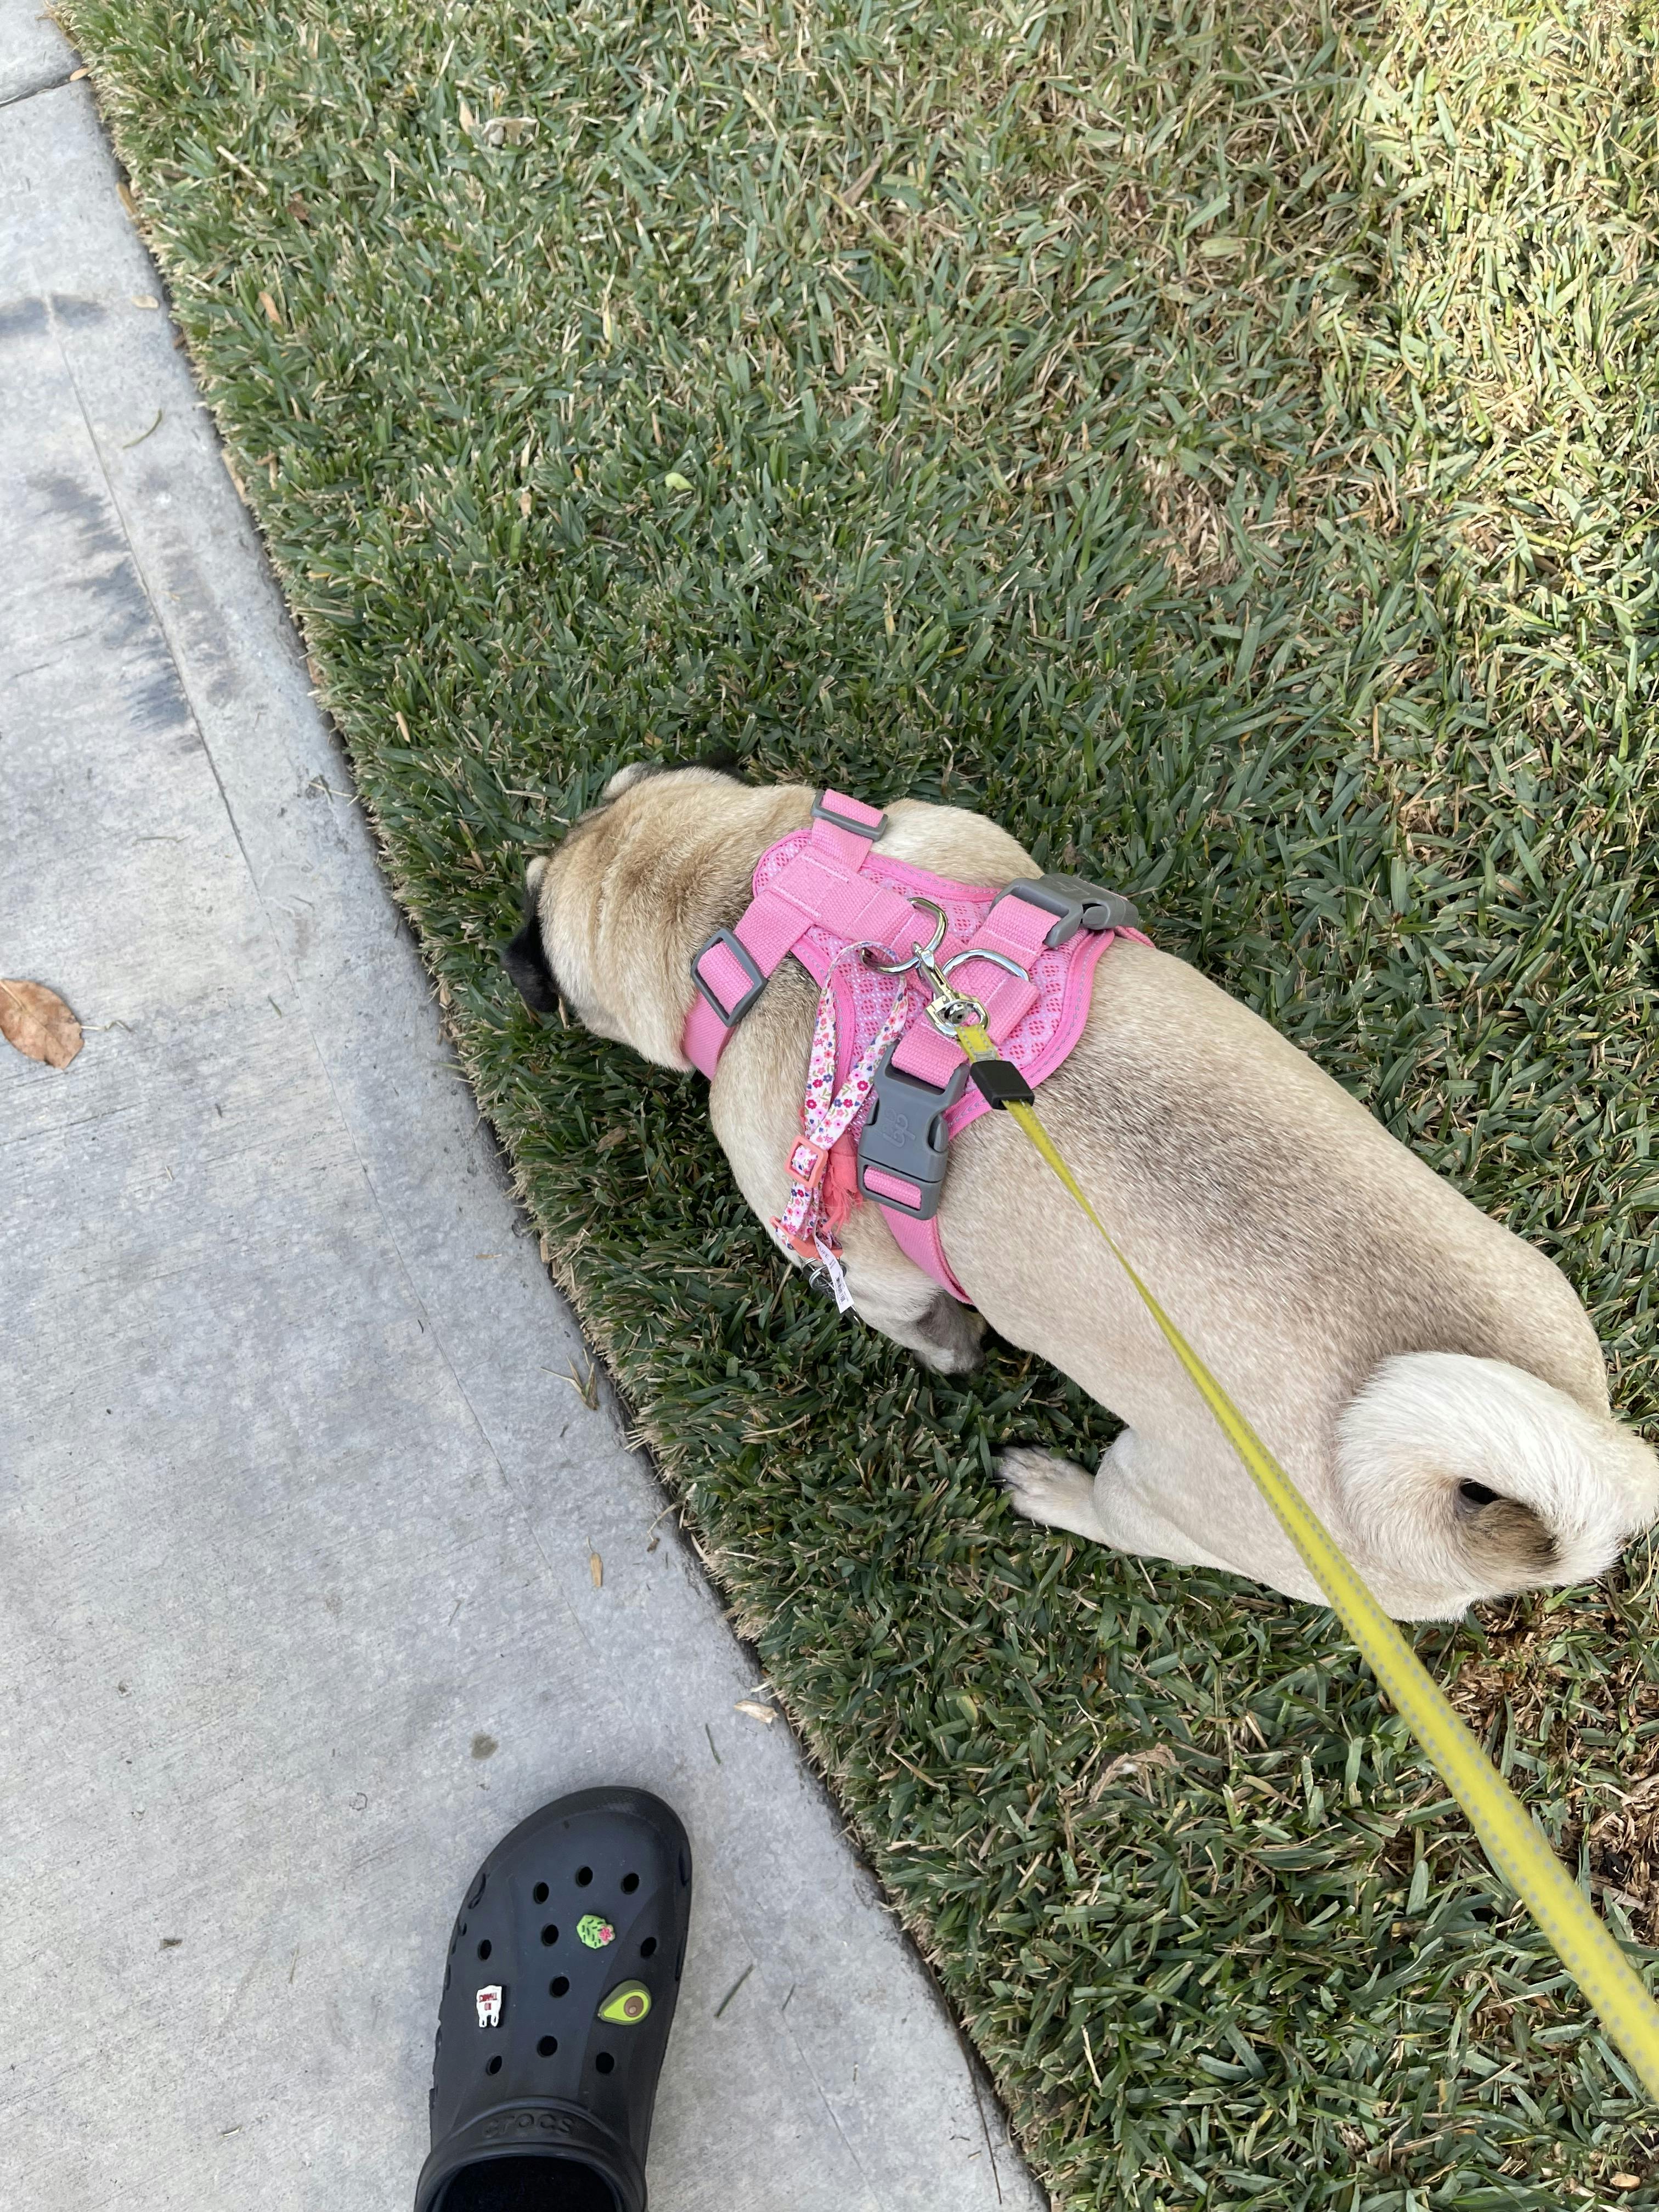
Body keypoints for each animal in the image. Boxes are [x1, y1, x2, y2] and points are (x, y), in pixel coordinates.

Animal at [506, 764, 1659, 1620]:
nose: (512, 956)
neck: (763, 899)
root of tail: (1495, 1529)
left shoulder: (859, 1269)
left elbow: (913, 1319)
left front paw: (952, 1351)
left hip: (1163, 1493)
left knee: (1122, 1520)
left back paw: (1047, 1487)